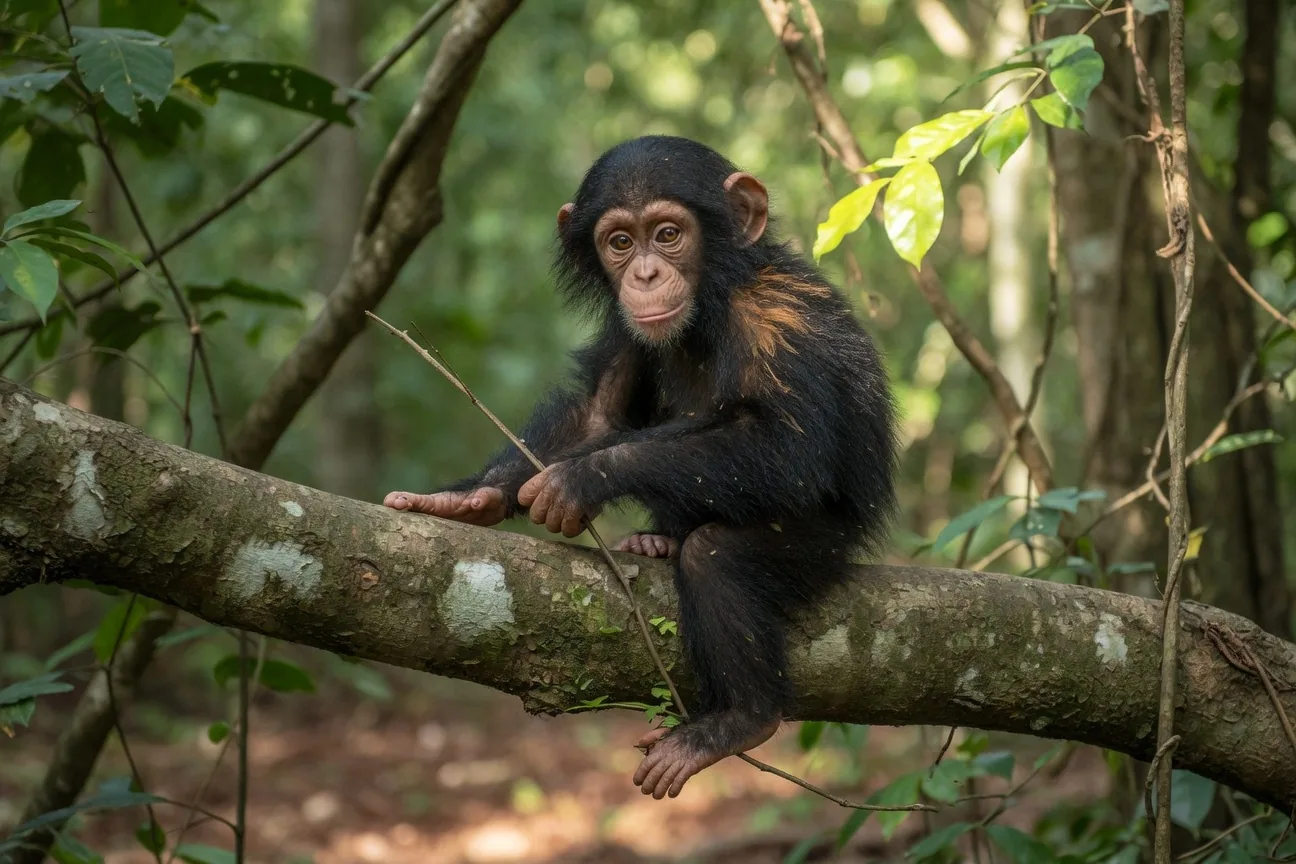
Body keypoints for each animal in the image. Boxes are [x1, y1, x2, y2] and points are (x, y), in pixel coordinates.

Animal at [384, 135, 898, 800]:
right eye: (620, 242)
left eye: (669, 233)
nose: (646, 273)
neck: (714, 299)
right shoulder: (624, 327)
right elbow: (599, 415)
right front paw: (472, 497)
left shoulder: (778, 319)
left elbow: (790, 448)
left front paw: (580, 479)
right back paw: (657, 541)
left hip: (826, 545)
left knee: (715, 557)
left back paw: (738, 721)